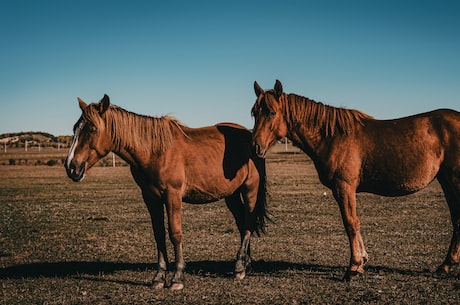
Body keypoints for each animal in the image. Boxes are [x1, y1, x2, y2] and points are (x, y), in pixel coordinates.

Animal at [63, 94, 268, 288]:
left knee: (248, 223)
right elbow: (159, 234)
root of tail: (252, 139)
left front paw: (177, 278)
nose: (71, 167)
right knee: (242, 223)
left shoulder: (172, 196)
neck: (155, 151)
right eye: (75, 129)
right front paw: (159, 277)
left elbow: (175, 234)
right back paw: (246, 264)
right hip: (231, 194)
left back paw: (240, 268)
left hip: (250, 189)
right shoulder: (151, 198)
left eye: (92, 129)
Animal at [252, 79, 460, 280]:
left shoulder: (344, 187)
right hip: (446, 181)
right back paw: (446, 265)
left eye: (272, 112)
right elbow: (353, 222)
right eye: (254, 112)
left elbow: (351, 223)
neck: (332, 137)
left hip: (454, 181)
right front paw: (361, 262)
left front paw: (353, 266)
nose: (255, 146)